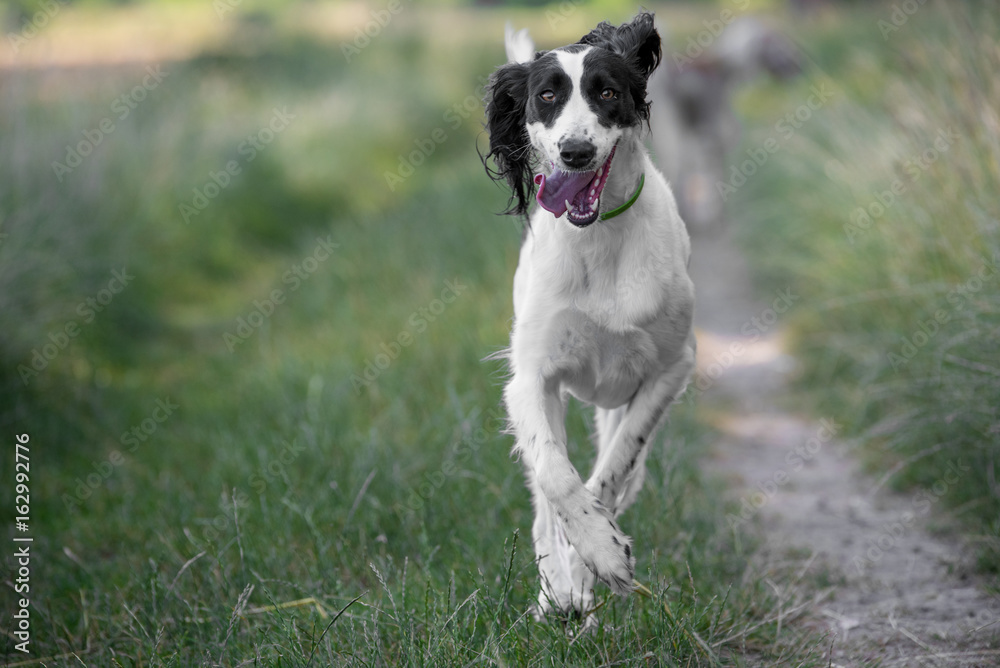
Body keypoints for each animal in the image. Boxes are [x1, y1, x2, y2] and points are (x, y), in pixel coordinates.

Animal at [484, 11, 696, 620]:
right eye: (546, 95)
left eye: (606, 92)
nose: (575, 152)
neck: (600, 241)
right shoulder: (529, 379)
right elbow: (557, 477)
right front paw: (584, 563)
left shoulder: (673, 366)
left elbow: (614, 466)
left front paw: (599, 559)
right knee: (542, 503)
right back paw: (555, 588)